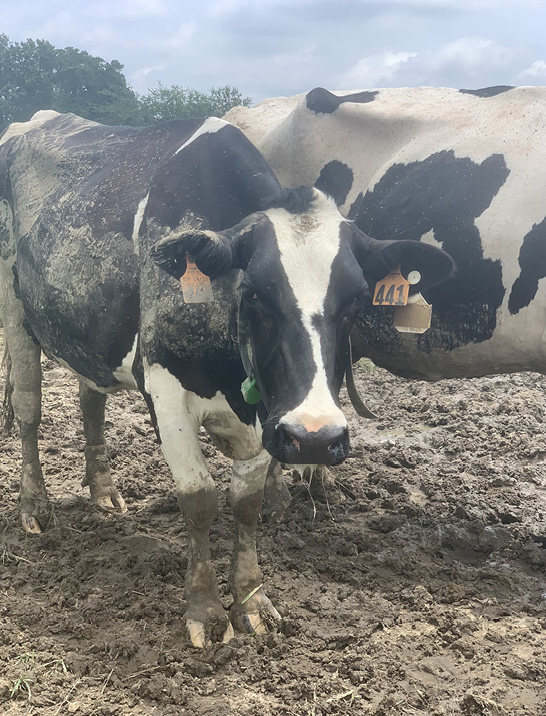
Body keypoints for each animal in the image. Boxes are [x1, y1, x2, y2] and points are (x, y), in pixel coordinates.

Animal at [0, 109, 450, 648]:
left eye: (358, 300)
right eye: (253, 293)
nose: (315, 437)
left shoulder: (266, 417)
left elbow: (247, 503)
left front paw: (252, 600)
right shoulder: (165, 391)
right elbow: (199, 499)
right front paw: (206, 610)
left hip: (90, 334)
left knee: (91, 400)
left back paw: (103, 490)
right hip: (15, 313)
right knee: (28, 410)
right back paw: (34, 506)